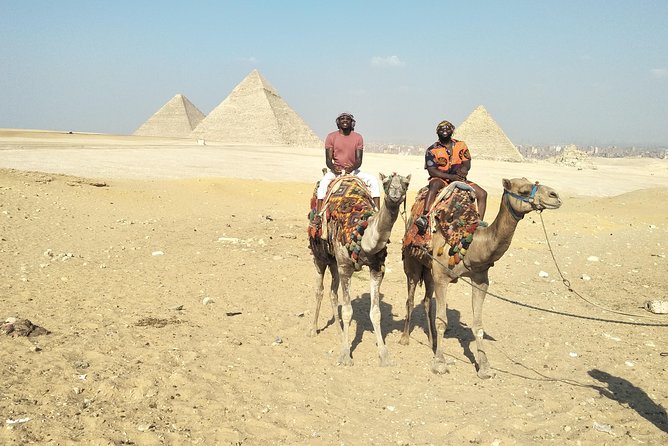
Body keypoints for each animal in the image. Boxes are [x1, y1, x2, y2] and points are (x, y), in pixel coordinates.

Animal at [308, 172, 411, 367]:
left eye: (406, 184)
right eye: (386, 183)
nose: (395, 194)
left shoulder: (377, 268)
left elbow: (376, 312)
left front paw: (384, 356)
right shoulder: (345, 267)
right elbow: (348, 311)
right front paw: (345, 356)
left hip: (334, 261)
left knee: (333, 293)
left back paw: (340, 333)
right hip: (320, 256)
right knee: (319, 290)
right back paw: (313, 330)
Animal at [401, 177, 562, 378]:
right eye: (523, 191)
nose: (554, 195)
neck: (469, 244)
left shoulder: (480, 280)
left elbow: (478, 325)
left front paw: (485, 367)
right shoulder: (441, 276)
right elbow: (442, 321)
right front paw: (439, 364)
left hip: (428, 269)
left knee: (426, 301)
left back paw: (433, 341)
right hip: (412, 262)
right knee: (410, 298)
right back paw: (405, 338)